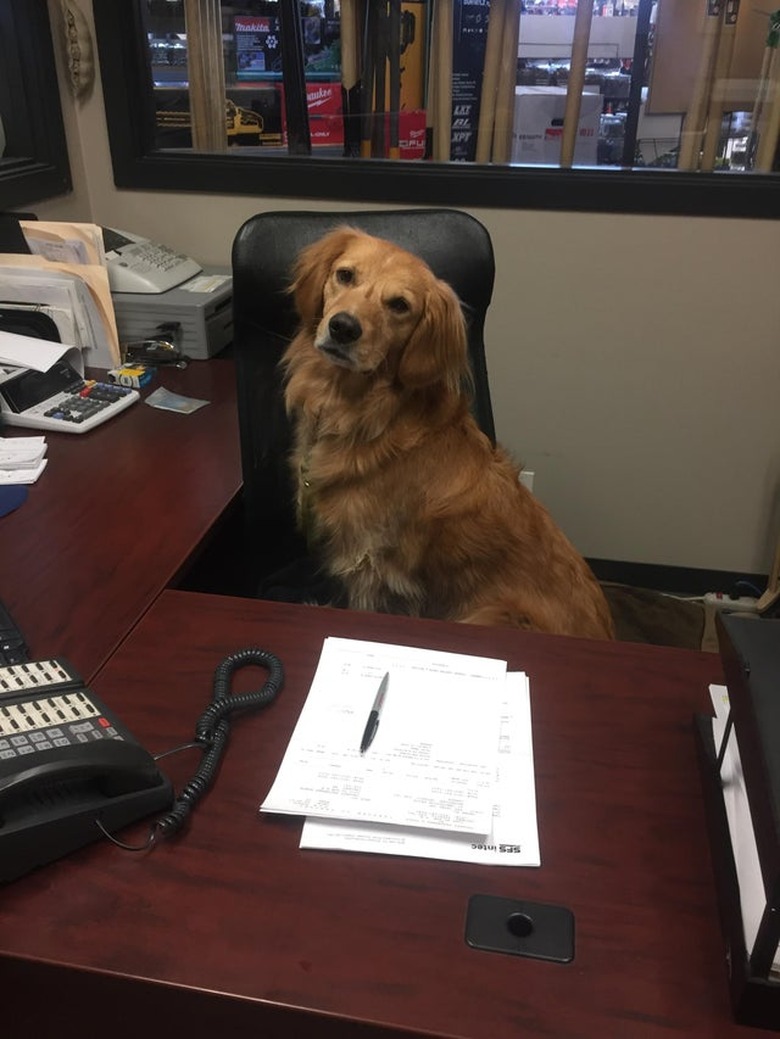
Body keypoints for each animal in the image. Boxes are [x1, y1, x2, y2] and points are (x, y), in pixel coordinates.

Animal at [280, 229, 614, 640]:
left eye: (399, 305)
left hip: (493, 612)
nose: (343, 327)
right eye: (345, 275)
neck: (363, 411)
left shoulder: (369, 564)